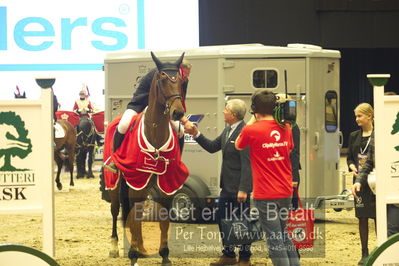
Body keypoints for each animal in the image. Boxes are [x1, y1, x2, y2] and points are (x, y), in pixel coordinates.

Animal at [104, 51, 189, 264]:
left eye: (180, 81)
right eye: (162, 80)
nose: (178, 112)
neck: (155, 134)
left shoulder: (166, 185)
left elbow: (163, 219)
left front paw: (165, 255)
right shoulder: (136, 184)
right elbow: (133, 217)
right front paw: (132, 255)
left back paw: (140, 247)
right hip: (115, 183)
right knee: (116, 210)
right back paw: (115, 247)